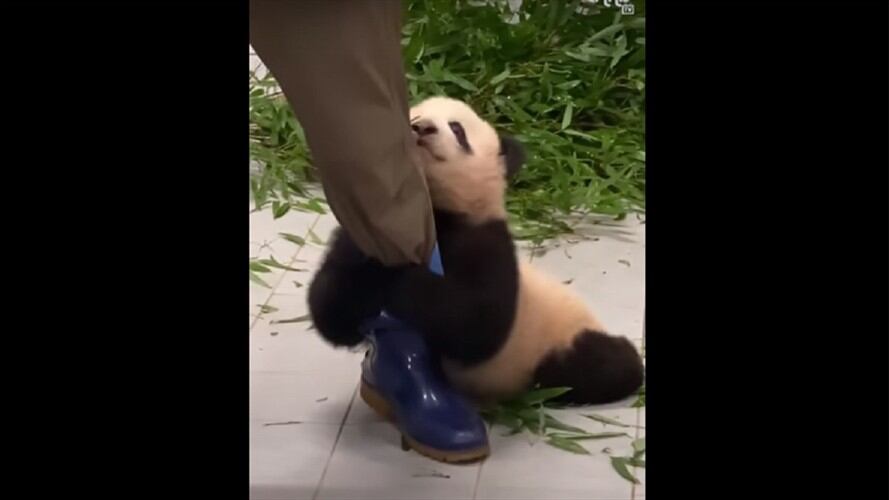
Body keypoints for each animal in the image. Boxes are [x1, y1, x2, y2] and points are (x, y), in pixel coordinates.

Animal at [308, 96, 644, 406]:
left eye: (457, 130)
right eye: (410, 117)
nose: (423, 127)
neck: (433, 210)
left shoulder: (486, 241)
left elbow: (476, 322)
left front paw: (404, 279)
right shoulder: (363, 231)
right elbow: (332, 308)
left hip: (557, 343)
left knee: (603, 366)